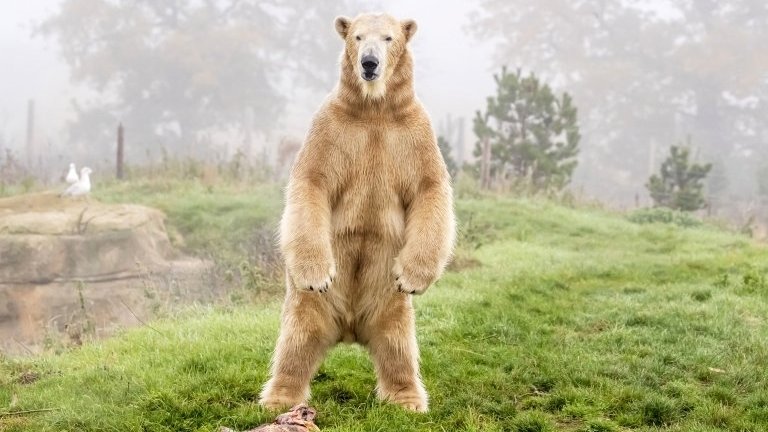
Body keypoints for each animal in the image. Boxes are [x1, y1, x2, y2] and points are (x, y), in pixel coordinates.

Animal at [258, 12, 456, 413]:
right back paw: (279, 398)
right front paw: (317, 273)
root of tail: (349, 329)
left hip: (388, 299)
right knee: (296, 338)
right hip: (310, 304)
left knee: (398, 343)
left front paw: (413, 277)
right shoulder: (331, 128)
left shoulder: (415, 132)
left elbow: (430, 187)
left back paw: (407, 399)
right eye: (358, 36)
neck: (374, 108)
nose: (369, 63)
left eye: (389, 37)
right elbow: (312, 181)